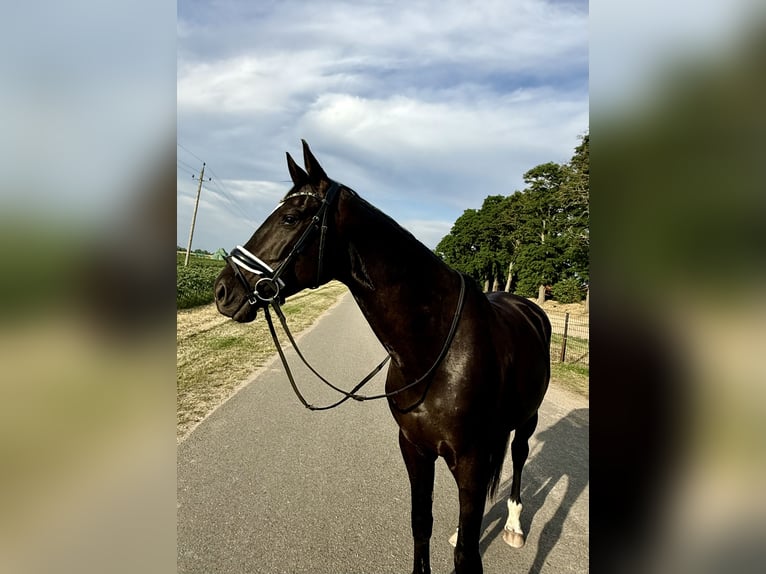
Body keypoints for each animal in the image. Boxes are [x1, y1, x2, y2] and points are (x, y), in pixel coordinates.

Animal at [214, 141, 551, 574]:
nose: (223, 291)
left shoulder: (471, 457)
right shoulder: (414, 447)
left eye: (289, 218)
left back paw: (512, 525)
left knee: (520, 455)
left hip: (527, 419)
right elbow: (421, 523)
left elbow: (466, 555)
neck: (436, 349)